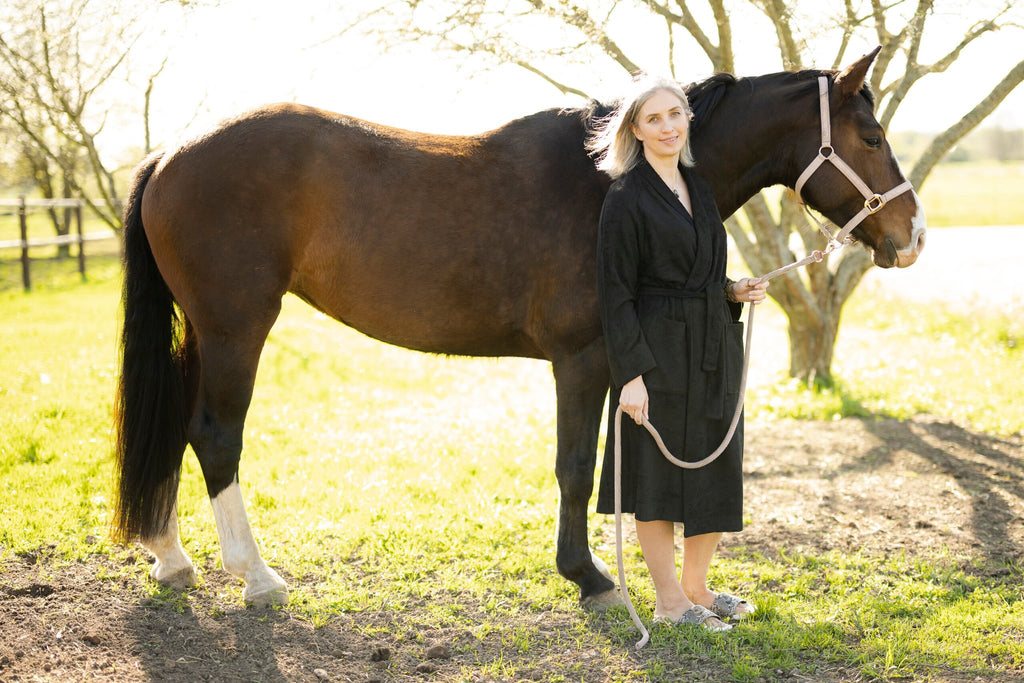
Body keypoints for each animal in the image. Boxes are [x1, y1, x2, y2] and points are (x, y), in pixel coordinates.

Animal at [113, 47, 925, 608]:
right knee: (217, 435)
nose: (912, 236)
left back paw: (172, 557)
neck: (606, 181)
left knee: (178, 426)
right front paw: (590, 577)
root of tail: (171, 153)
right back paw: (257, 576)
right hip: (235, 329)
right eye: (872, 135)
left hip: (203, 332)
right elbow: (576, 468)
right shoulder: (583, 361)